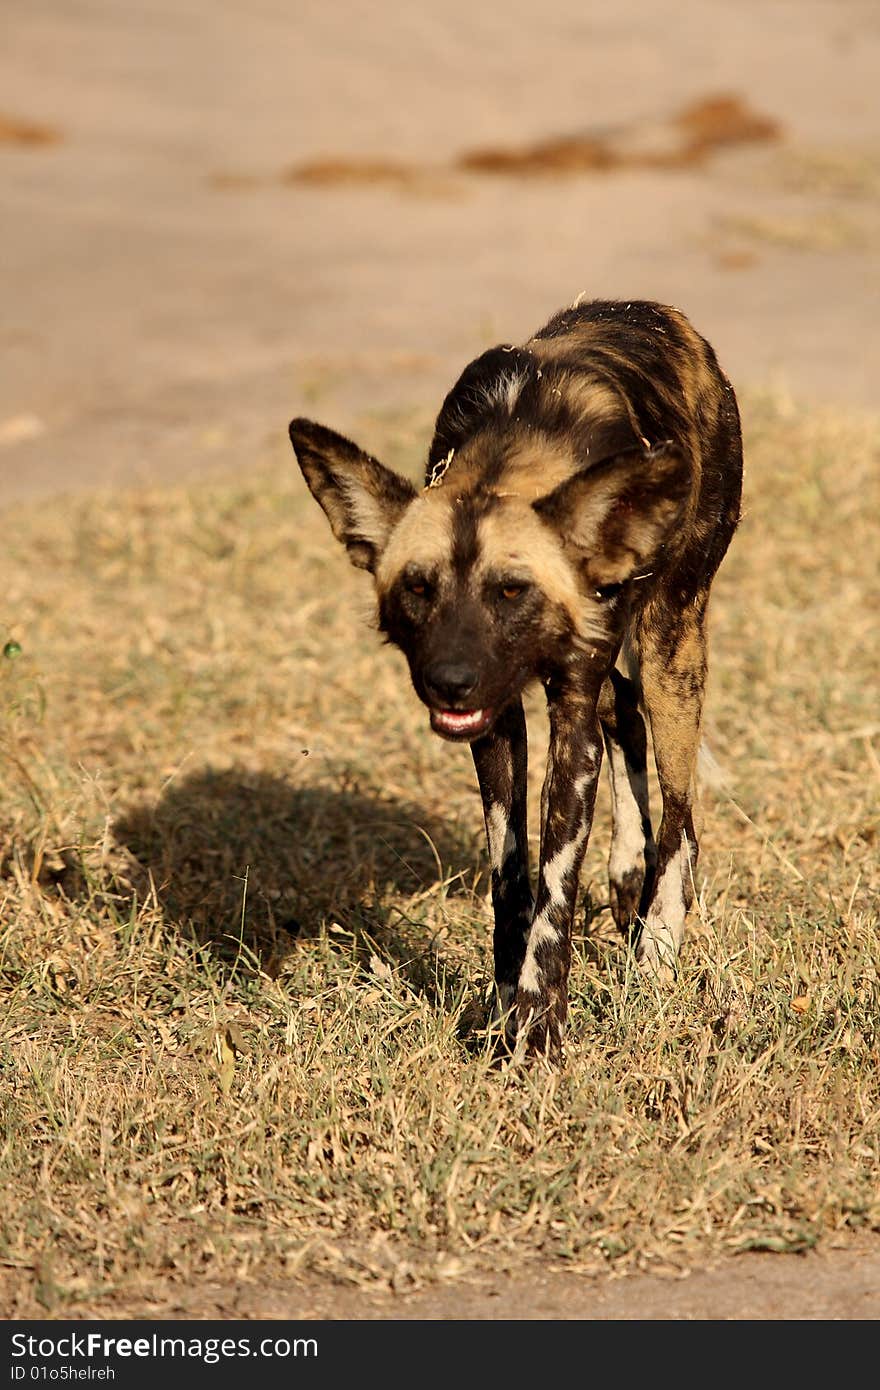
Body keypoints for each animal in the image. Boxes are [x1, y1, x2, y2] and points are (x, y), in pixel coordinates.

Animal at [290, 298, 739, 1056]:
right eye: (418, 588)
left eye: (510, 591)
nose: (449, 681)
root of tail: (668, 318)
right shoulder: (497, 722)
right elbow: (512, 877)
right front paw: (503, 1002)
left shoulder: (569, 719)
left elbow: (555, 886)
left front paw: (535, 1030)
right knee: (626, 716)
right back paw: (629, 879)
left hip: (670, 648)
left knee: (683, 816)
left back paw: (655, 956)